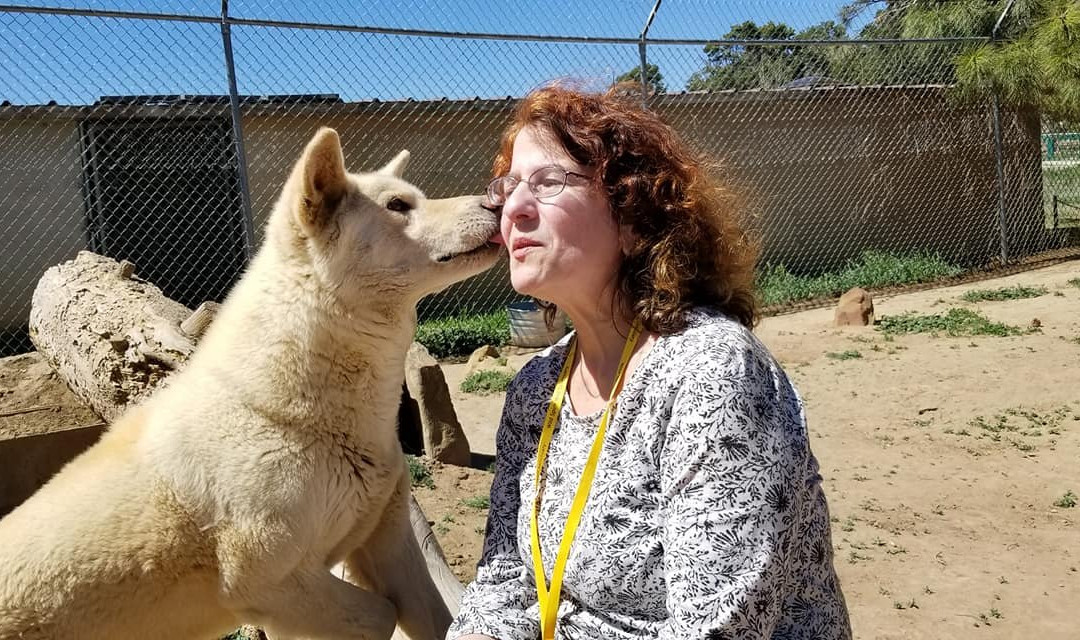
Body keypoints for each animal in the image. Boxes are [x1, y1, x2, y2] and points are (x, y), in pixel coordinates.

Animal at [0, 127, 503, 640]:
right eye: (399, 205)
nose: (495, 202)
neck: (287, 416)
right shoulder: (270, 587)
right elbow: (381, 615)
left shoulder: (388, 543)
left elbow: (433, 617)